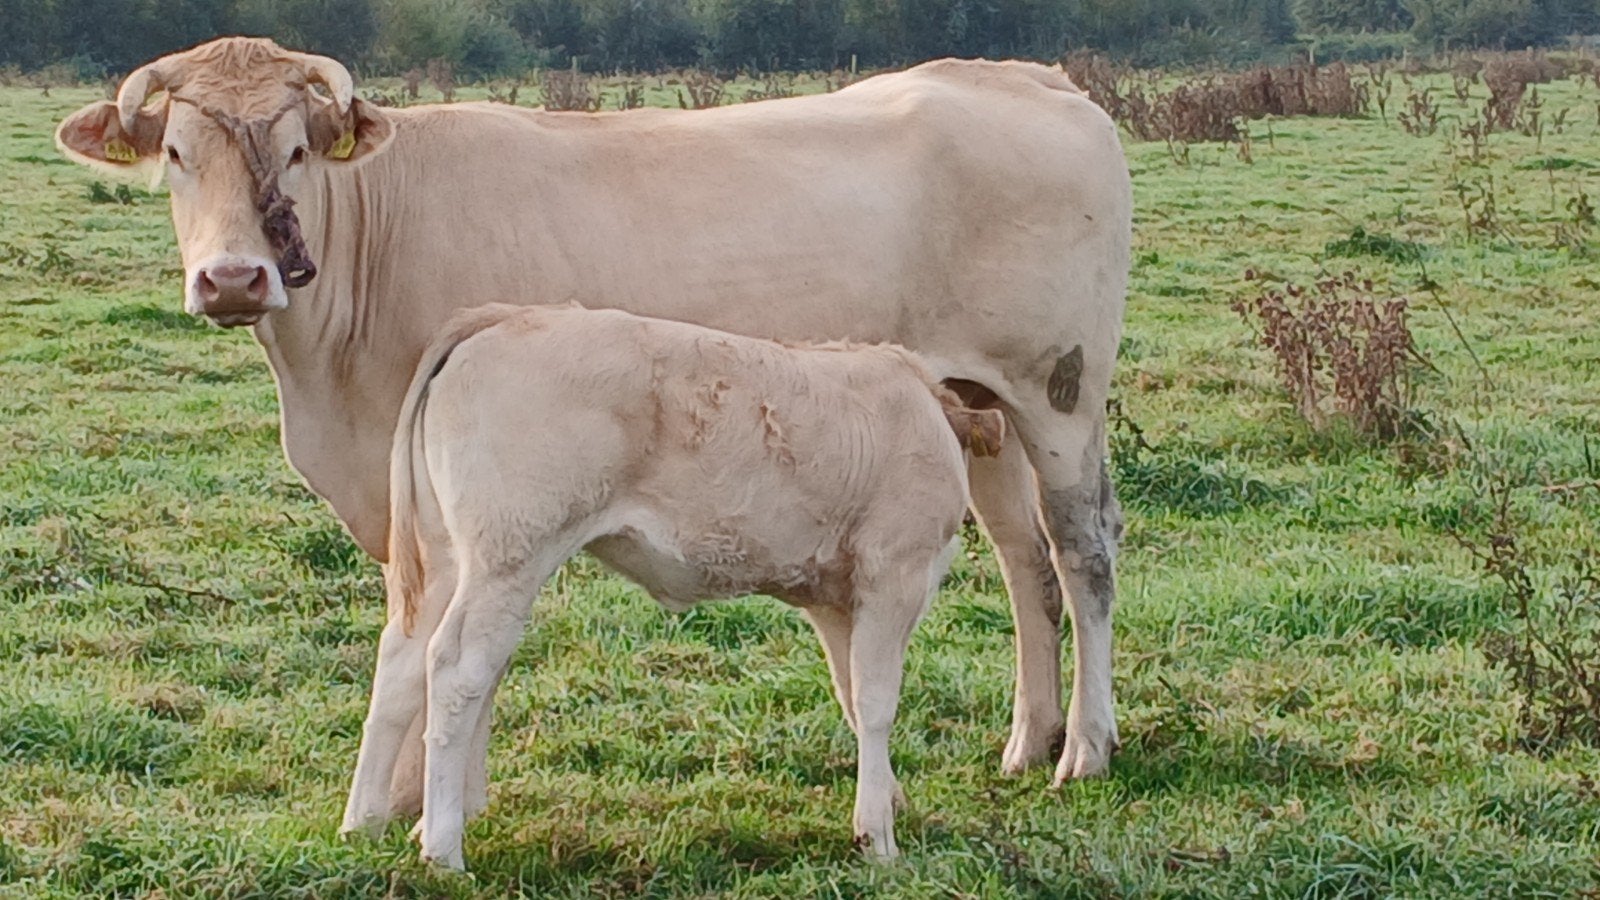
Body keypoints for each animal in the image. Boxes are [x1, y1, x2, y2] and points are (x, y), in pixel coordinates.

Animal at [344, 302, 1008, 866]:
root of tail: (505, 315)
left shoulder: (837, 599)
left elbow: (849, 694)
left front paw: (887, 801)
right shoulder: (893, 572)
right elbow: (875, 703)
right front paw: (879, 838)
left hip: (448, 558)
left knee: (402, 661)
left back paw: (364, 823)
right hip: (509, 554)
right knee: (458, 670)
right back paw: (442, 849)